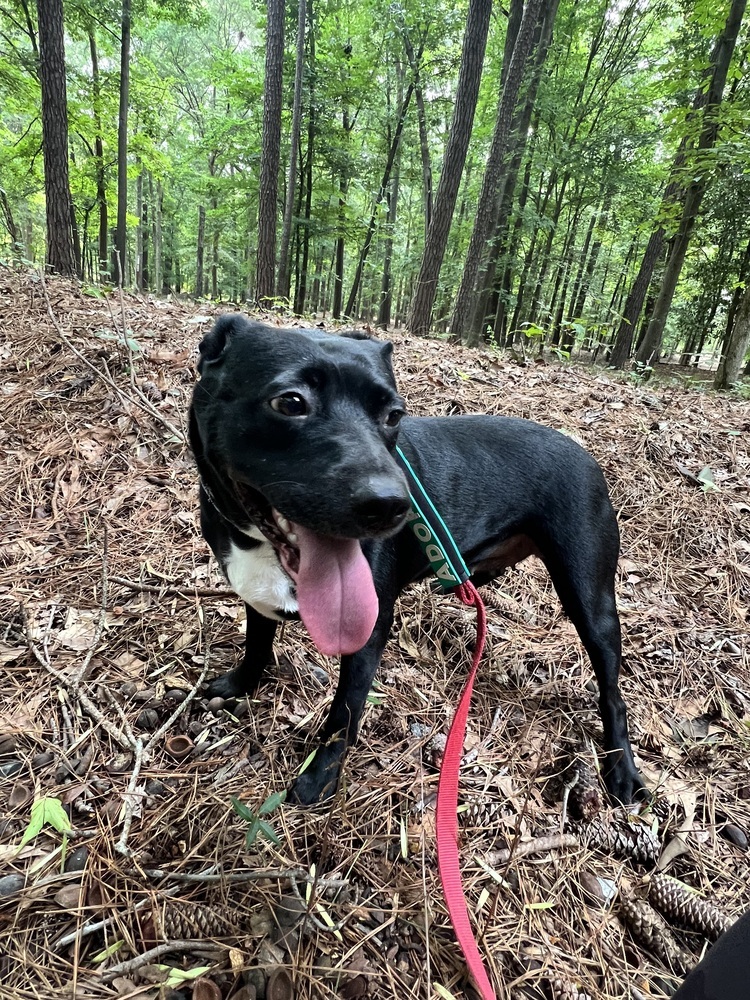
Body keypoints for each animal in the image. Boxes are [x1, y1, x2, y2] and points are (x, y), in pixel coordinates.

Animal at [189, 316, 648, 808]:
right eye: (290, 402)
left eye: (394, 415)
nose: (393, 504)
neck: (257, 543)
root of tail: (585, 452)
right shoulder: (256, 596)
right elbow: (256, 644)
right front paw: (240, 685)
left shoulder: (367, 631)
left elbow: (344, 714)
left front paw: (319, 778)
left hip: (590, 602)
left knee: (613, 692)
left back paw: (622, 770)